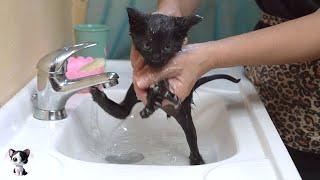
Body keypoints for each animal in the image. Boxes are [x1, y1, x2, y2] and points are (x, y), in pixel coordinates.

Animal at [90, 7, 240, 165]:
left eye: (167, 47)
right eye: (147, 45)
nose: (156, 57)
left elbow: (162, 89)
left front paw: (158, 95)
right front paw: (153, 97)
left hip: (184, 114)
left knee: (192, 137)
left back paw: (197, 160)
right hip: (134, 91)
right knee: (123, 111)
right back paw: (99, 95)